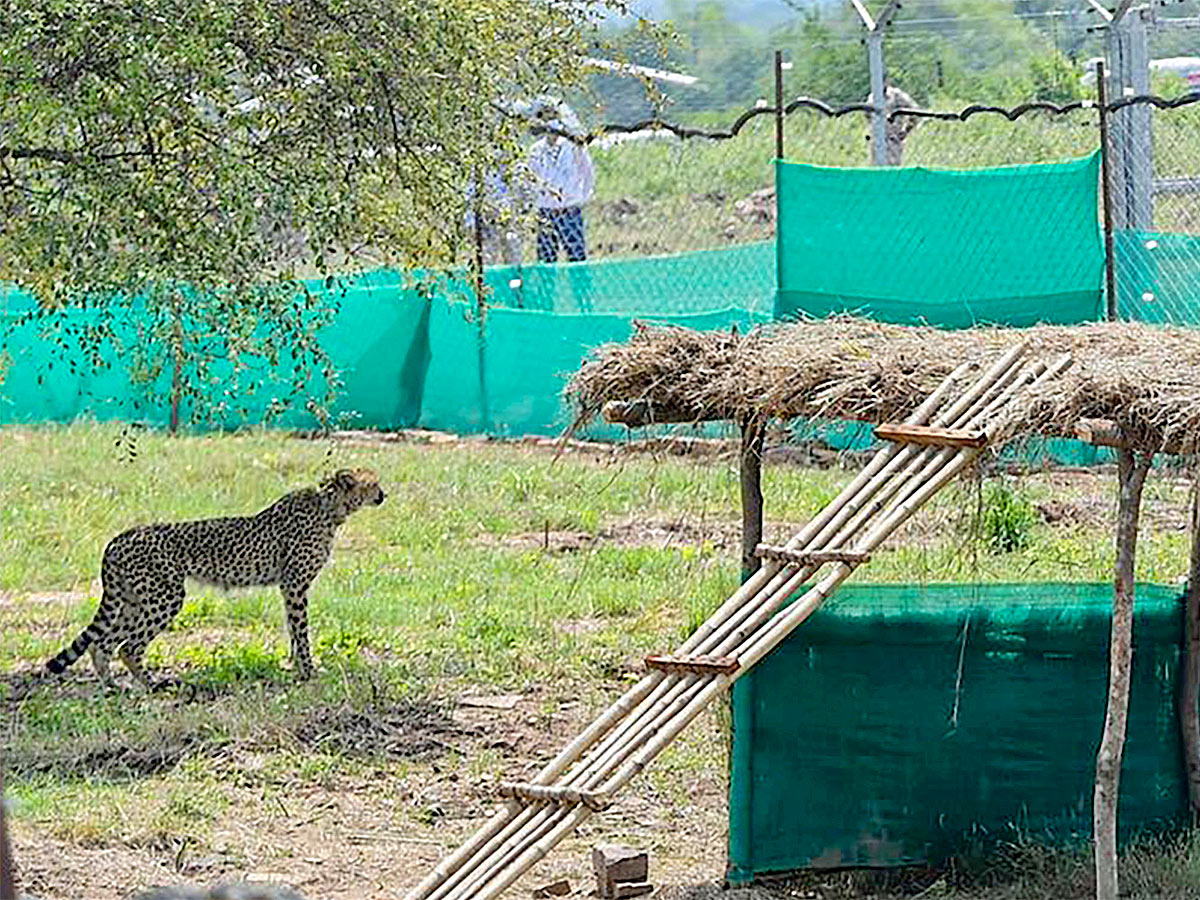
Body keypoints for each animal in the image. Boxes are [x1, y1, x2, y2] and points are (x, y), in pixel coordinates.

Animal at [45, 468, 384, 686]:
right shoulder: (294, 585)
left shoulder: (289, 589)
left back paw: (113, 688)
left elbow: (292, 629)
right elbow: (301, 631)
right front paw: (308, 671)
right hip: (165, 598)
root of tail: (120, 537)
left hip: (133, 600)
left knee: (101, 644)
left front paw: (296, 668)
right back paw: (153, 685)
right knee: (127, 646)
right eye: (373, 483)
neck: (330, 508)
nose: (384, 494)